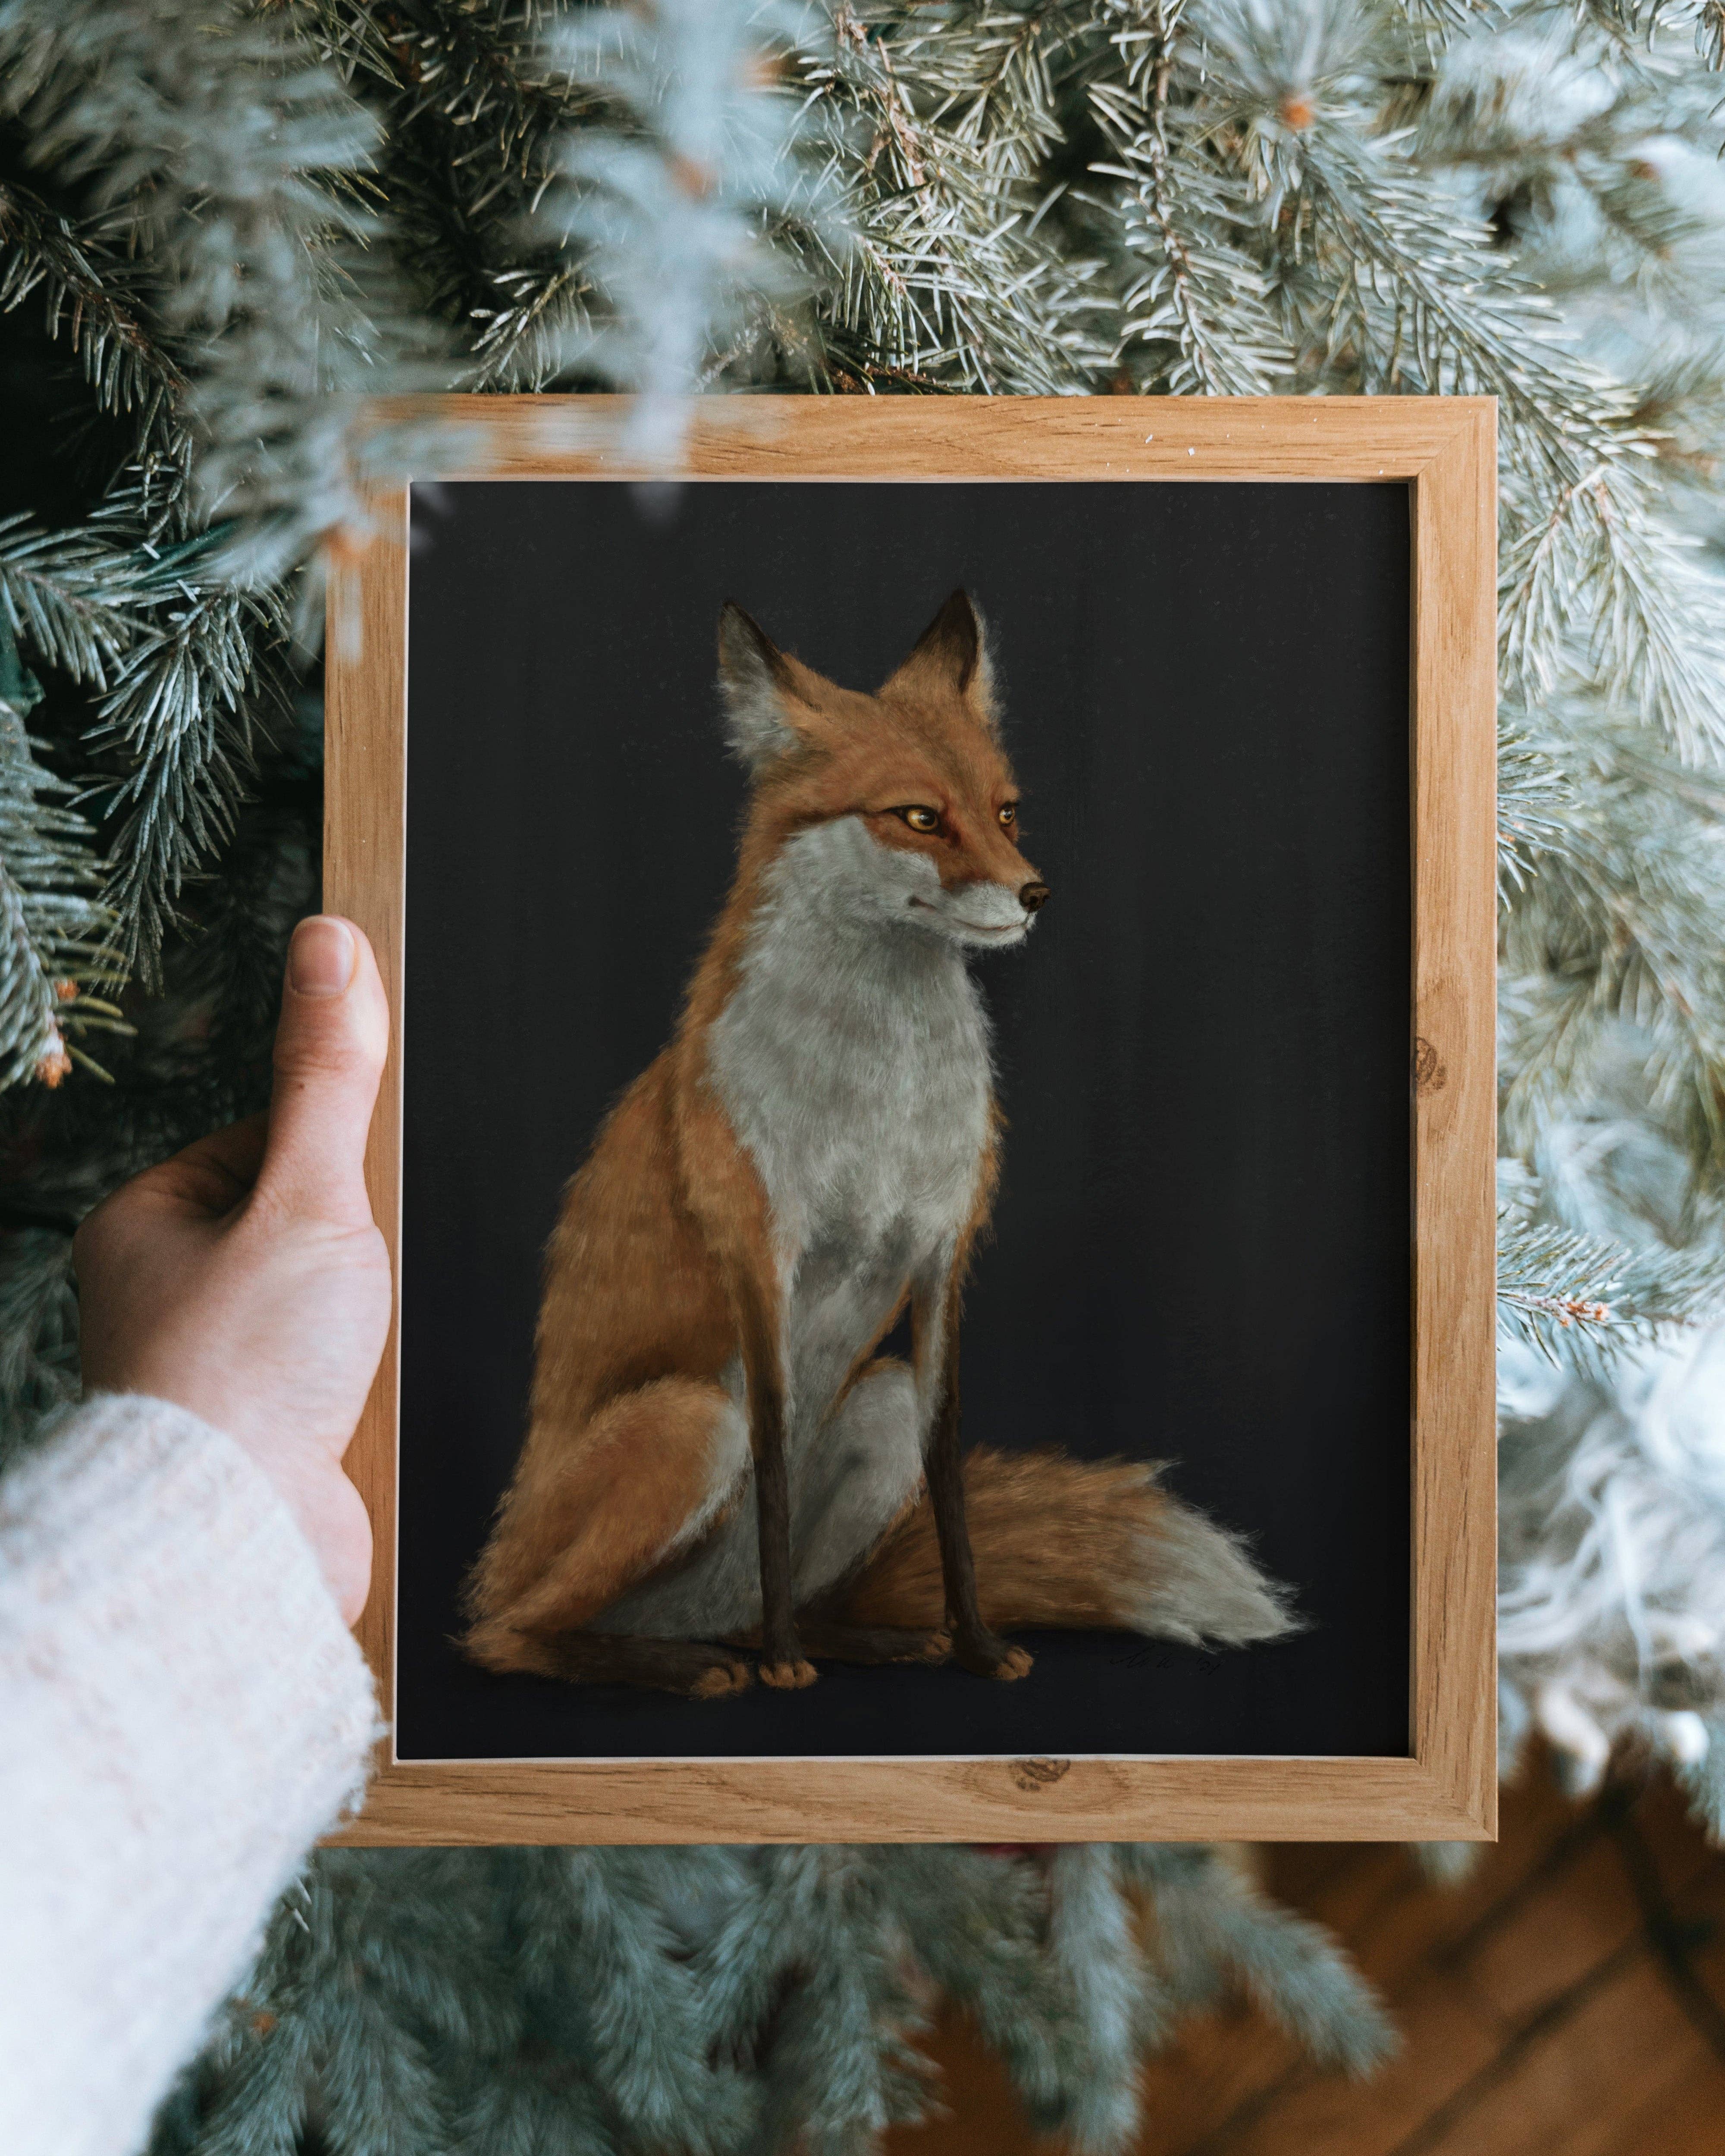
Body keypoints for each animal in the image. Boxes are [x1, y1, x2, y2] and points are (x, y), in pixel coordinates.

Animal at [463, 589, 1294, 1698]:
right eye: (918, 816)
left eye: (1005, 811)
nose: (1035, 893)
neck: (880, 1100)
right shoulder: (760, 1255)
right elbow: (773, 1468)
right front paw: (786, 1666)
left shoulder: (943, 1256)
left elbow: (949, 1484)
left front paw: (975, 1645)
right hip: (688, 1423)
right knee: (507, 1634)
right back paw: (694, 1661)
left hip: (877, 1404)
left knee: (772, 1597)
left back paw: (853, 1639)